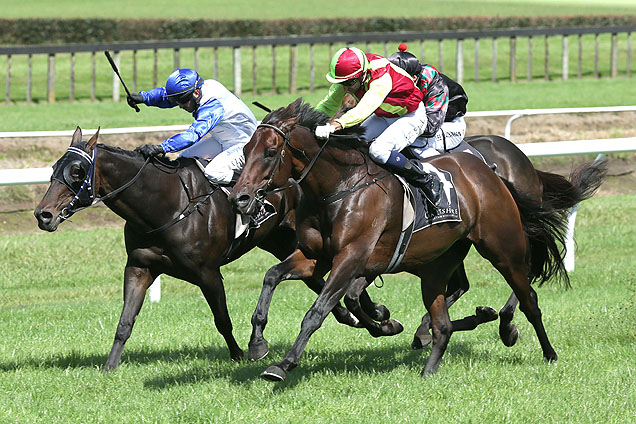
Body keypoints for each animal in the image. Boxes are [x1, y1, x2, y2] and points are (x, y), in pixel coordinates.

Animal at [34, 126, 376, 372]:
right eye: (53, 167)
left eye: (77, 172)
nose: (43, 214)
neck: (165, 207)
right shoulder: (140, 267)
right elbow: (125, 322)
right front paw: (109, 367)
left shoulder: (207, 272)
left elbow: (222, 319)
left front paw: (240, 355)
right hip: (280, 242)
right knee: (315, 278)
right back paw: (361, 316)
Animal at [230, 99, 608, 380]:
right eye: (246, 148)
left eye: (270, 152)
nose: (240, 198)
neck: (340, 187)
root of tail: (493, 172)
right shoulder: (314, 256)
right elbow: (273, 277)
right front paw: (257, 342)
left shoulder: (351, 259)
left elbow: (318, 310)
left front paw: (284, 363)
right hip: (442, 260)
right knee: (451, 306)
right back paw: (434, 345)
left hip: (503, 245)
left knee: (527, 293)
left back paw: (536, 345)